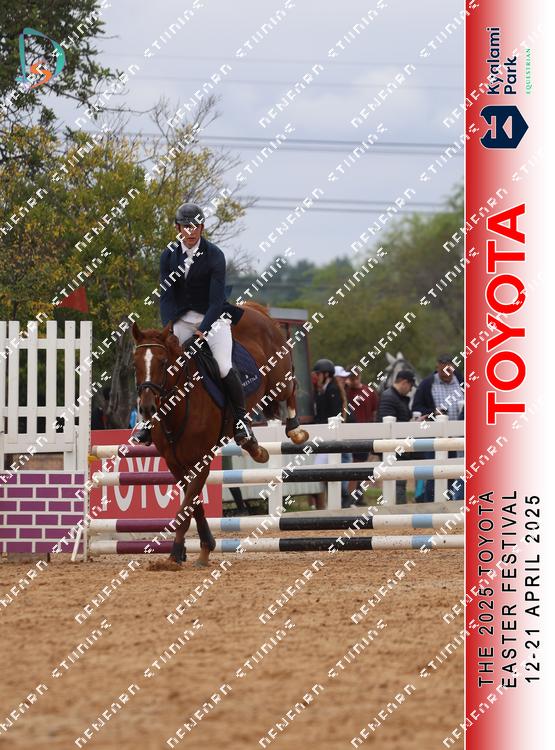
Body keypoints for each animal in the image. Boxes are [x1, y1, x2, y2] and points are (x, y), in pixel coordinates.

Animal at [131, 302, 309, 568]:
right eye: (135, 365)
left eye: (163, 363)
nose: (147, 409)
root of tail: (254, 309)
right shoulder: (174, 463)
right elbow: (193, 503)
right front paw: (203, 547)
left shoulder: (201, 460)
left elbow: (187, 505)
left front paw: (175, 554)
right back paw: (253, 445)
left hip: (278, 379)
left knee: (291, 387)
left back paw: (295, 429)